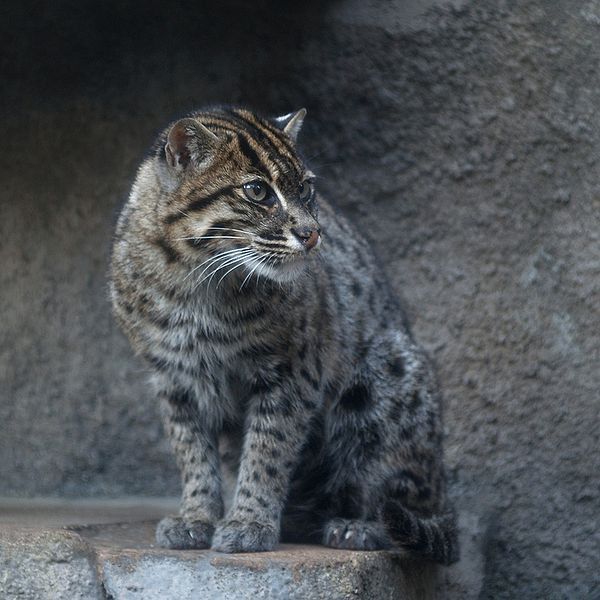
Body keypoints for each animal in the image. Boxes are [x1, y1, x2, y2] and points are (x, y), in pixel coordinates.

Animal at [110, 104, 460, 564]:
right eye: (257, 191)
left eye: (307, 188)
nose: (312, 234)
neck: (196, 275)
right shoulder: (173, 378)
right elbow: (192, 454)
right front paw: (196, 517)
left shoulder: (291, 373)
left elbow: (267, 451)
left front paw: (249, 523)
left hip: (389, 371)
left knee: (392, 492)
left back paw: (357, 526)